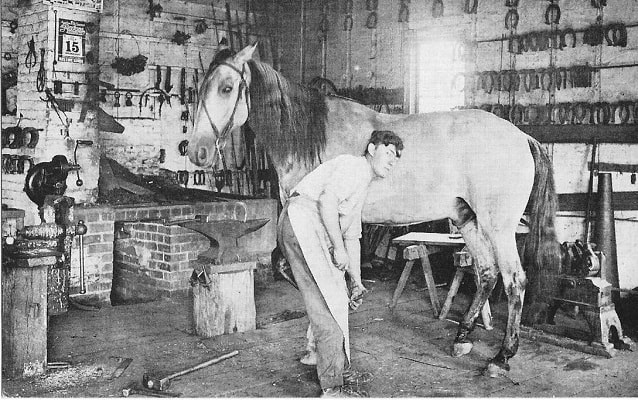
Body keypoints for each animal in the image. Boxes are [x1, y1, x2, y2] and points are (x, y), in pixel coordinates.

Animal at [189, 44, 560, 378]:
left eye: (226, 88)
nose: (197, 152)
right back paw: (462, 337)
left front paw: (318, 347)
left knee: (514, 281)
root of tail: (522, 137)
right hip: (466, 219)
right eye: (201, 88)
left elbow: (321, 279)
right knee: (486, 273)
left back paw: (502, 357)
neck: (310, 136)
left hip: (498, 228)